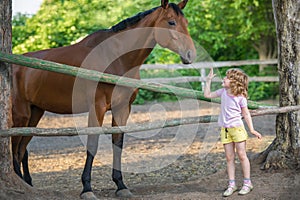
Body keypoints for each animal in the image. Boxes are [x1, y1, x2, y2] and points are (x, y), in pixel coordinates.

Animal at [11, 0, 196, 198]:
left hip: (35, 113)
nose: (190, 54)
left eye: (186, 23)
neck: (117, 59)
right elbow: (93, 144)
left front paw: (121, 185)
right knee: (14, 147)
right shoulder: (97, 107)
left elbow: (118, 143)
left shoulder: (122, 108)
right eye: (171, 22)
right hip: (20, 115)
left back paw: (27, 183)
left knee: (22, 149)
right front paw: (87, 188)